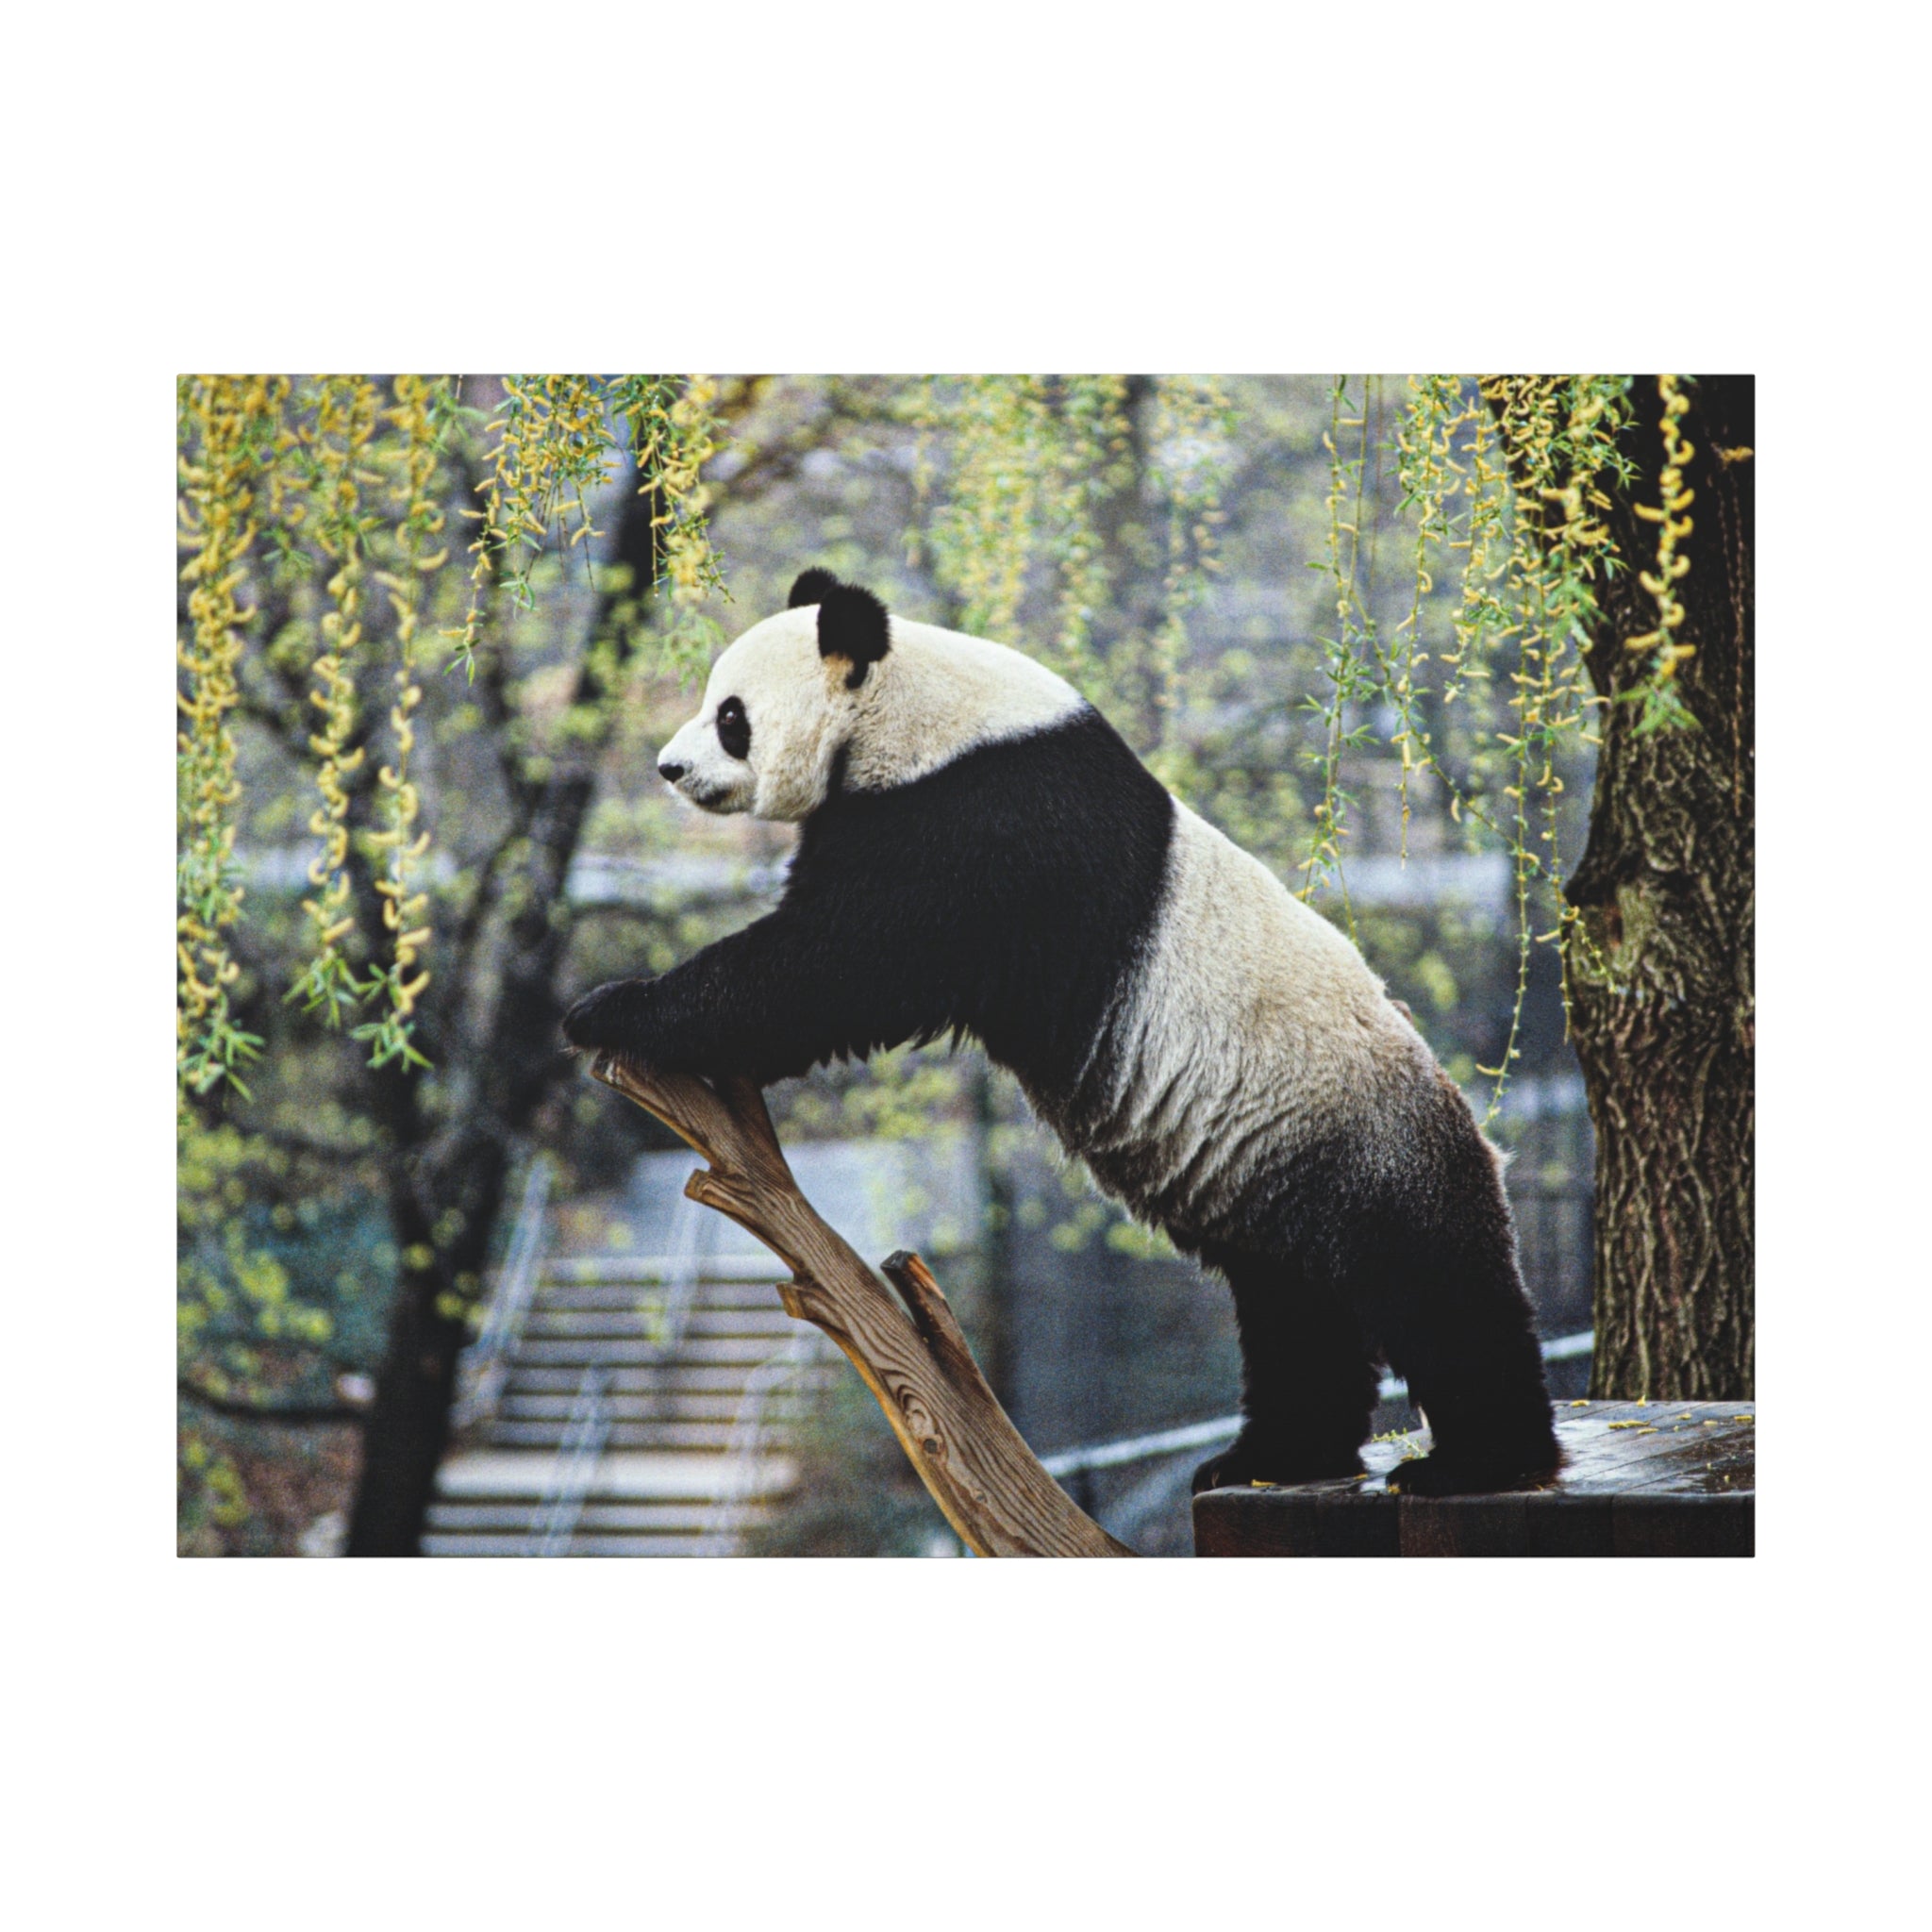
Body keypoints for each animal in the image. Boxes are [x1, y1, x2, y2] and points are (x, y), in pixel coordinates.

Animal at [564, 568, 1559, 1497]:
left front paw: (611, 1008)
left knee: (1434, 1290)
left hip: (1361, 1142)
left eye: (731, 716)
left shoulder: (982, 821)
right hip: (1277, 1178)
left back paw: (1480, 1462)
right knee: (1294, 1313)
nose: (670, 769)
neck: (915, 710)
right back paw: (1271, 1457)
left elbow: (838, 965)